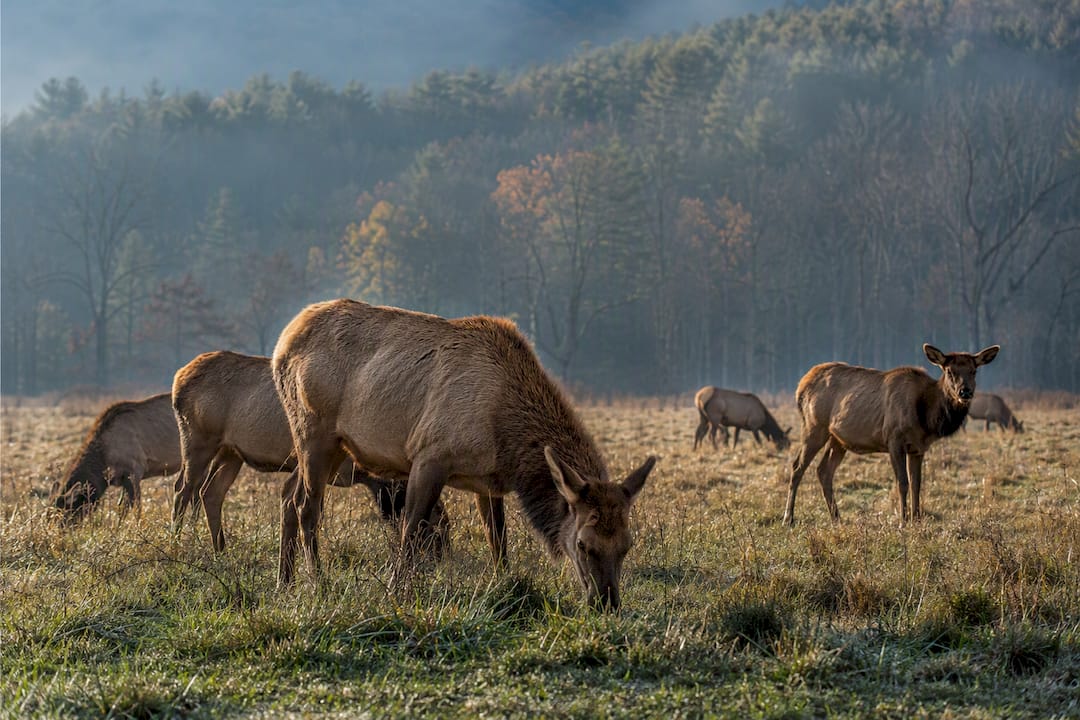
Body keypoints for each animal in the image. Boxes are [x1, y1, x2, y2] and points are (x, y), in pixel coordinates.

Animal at [171, 350, 449, 554]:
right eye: (436, 520)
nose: (442, 552)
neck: (362, 474)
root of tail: (177, 380)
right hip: (198, 440)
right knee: (183, 488)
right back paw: (176, 542)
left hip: (230, 452)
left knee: (210, 491)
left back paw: (220, 550)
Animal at [272, 298, 657, 611]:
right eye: (583, 545)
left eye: (626, 545)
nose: (607, 603)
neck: (507, 440)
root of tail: (283, 343)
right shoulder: (430, 454)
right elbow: (412, 529)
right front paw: (397, 592)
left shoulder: (488, 481)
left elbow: (498, 538)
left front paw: (504, 584)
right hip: (314, 431)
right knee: (307, 506)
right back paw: (317, 583)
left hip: (334, 446)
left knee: (289, 496)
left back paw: (285, 582)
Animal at [783, 343, 999, 526]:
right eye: (949, 371)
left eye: (973, 371)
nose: (965, 392)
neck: (926, 417)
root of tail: (800, 387)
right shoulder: (894, 439)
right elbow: (902, 482)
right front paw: (903, 521)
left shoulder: (918, 448)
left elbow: (917, 484)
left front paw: (917, 521)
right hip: (814, 426)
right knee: (797, 466)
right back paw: (788, 518)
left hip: (838, 438)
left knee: (824, 471)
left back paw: (837, 518)